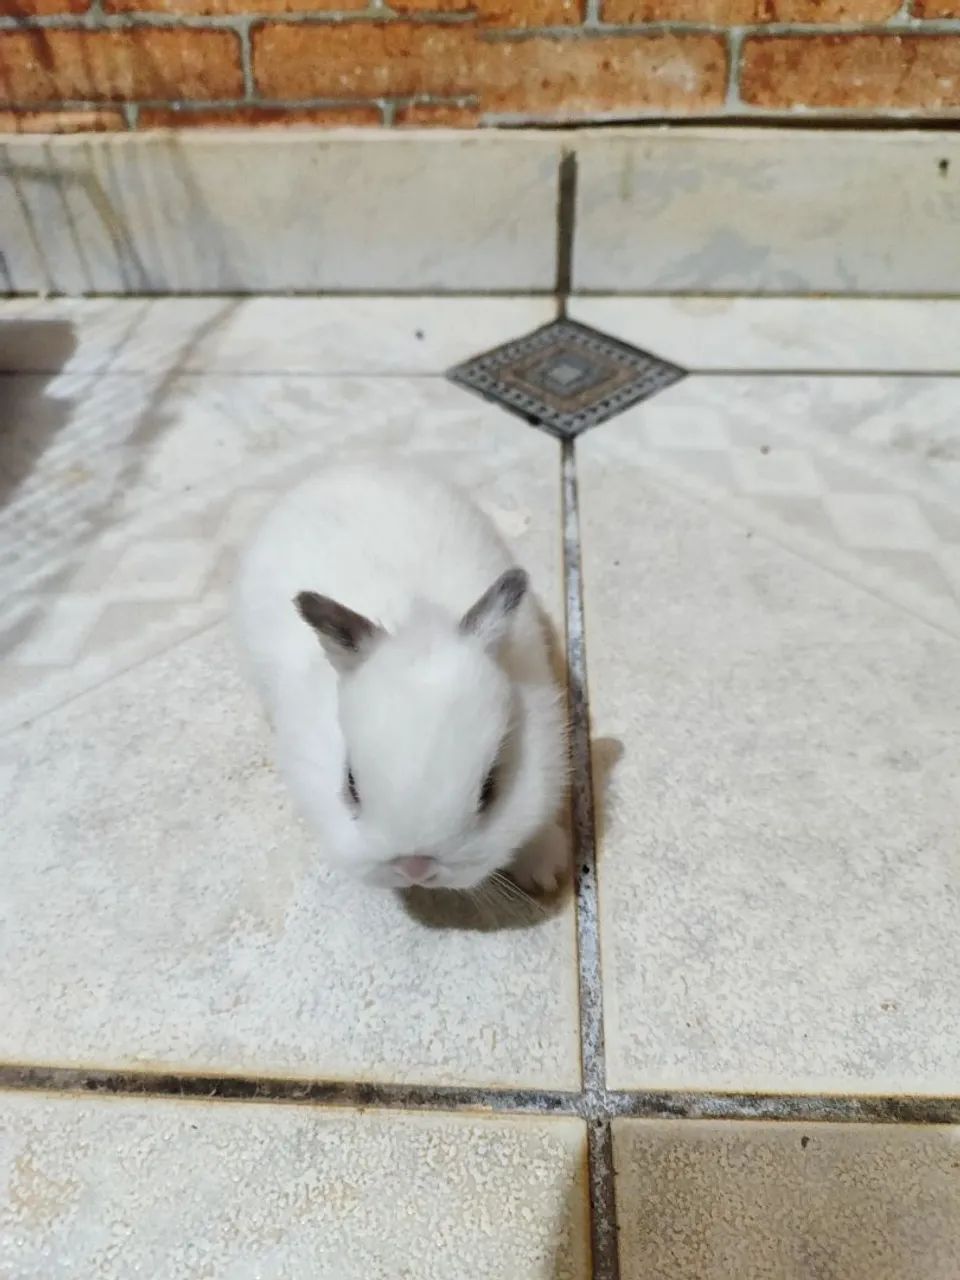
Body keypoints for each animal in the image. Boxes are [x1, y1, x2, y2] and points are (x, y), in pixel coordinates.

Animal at [233, 460, 569, 894]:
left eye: (490, 788)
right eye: (350, 785)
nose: (415, 868)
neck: (417, 617)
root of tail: (346, 467)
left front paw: (545, 871)